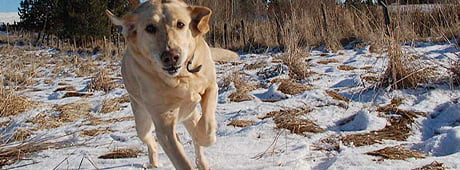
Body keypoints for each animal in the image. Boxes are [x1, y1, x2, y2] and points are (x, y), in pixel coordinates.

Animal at [107, 0, 237, 169]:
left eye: (180, 24)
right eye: (150, 28)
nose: (171, 56)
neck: (181, 78)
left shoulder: (211, 87)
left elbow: (207, 125)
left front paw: (202, 136)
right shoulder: (164, 123)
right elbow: (181, 160)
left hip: (189, 114)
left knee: (196, 136)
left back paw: (201, 159)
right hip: (142, 122)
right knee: (151, 142)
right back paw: (154, 163)